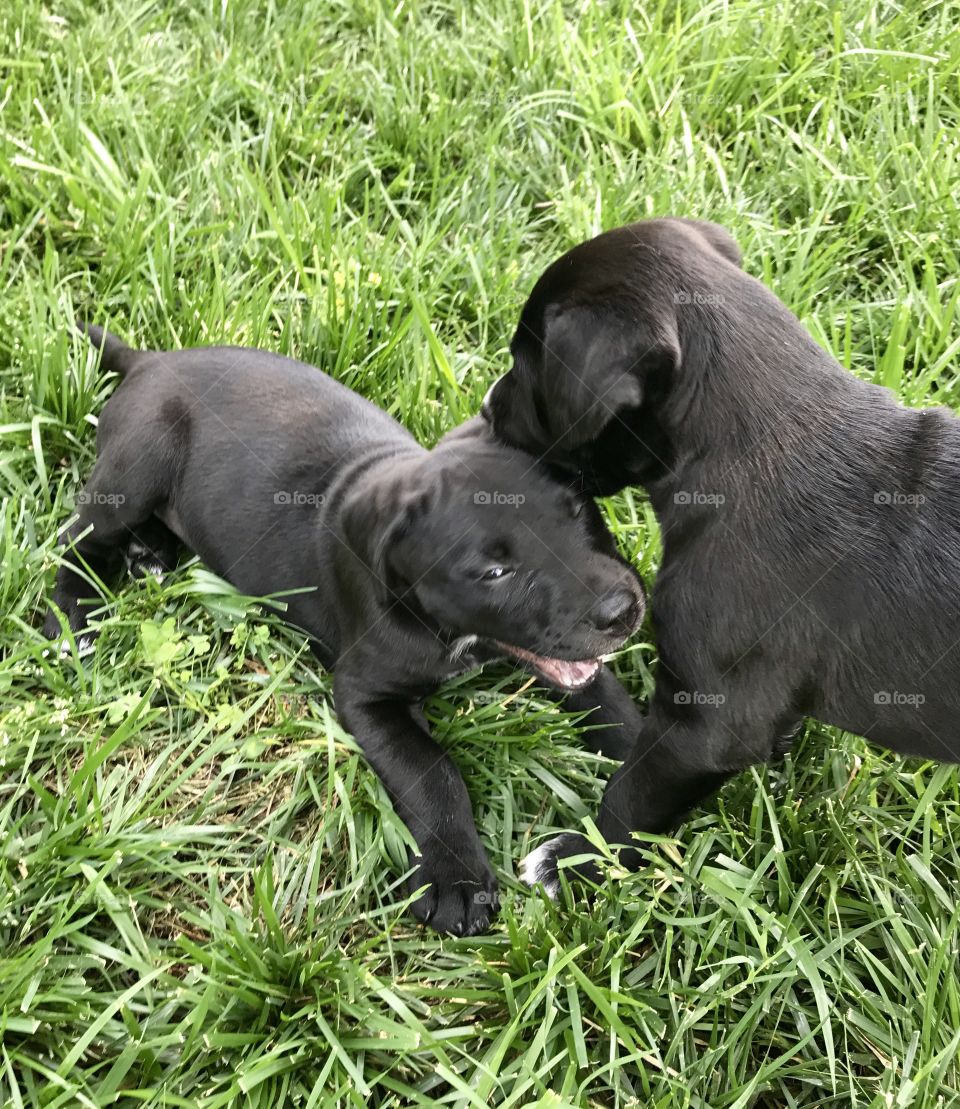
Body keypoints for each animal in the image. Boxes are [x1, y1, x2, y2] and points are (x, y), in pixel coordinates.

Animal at [46, 323, 642, 935]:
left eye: (580, 510)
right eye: (495, 573)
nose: (622, 610)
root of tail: (150, 361)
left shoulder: (570, 660)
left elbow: (616, 711)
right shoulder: (366, 696)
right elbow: (432, 770)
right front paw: (457, 879)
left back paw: (151, 552)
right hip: (135, 469)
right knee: (74, 542)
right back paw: (73, 622)